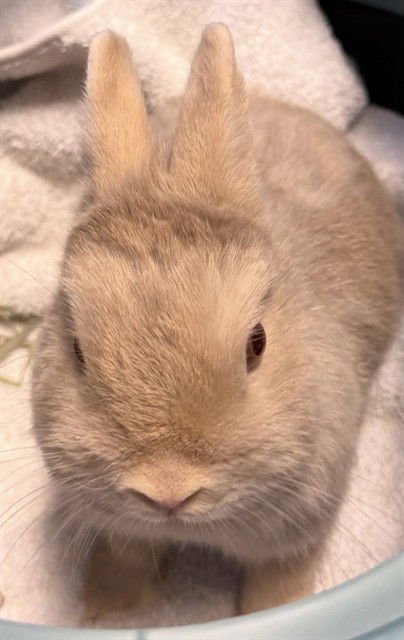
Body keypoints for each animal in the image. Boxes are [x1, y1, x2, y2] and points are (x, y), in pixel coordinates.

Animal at [31, 24, 401, 621]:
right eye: (77, 352)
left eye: (258, 343)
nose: (168, 490)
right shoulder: (122, 532)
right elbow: (126, 561)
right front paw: (106, 615)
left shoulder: (302, 523)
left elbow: (278, 580)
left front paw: (271, 612)